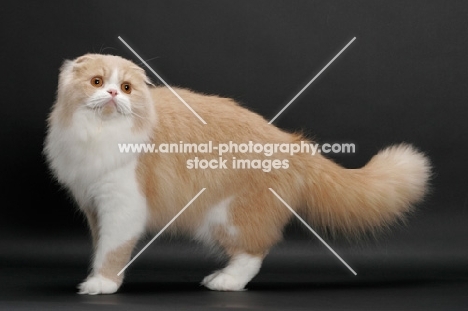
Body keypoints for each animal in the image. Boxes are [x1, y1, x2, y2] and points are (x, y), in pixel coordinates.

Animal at [44, 54, 432, 296]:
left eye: (126, 88)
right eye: (97, 82)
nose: (112, 94)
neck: (98, 135)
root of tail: (291, 143)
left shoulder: (123, 206)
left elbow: (112, 250)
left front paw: (102, 284)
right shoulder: (94, 205)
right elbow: (100, 245)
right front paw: (97, 278)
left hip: (224, 216)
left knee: (254, 251)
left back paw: (226, 280)